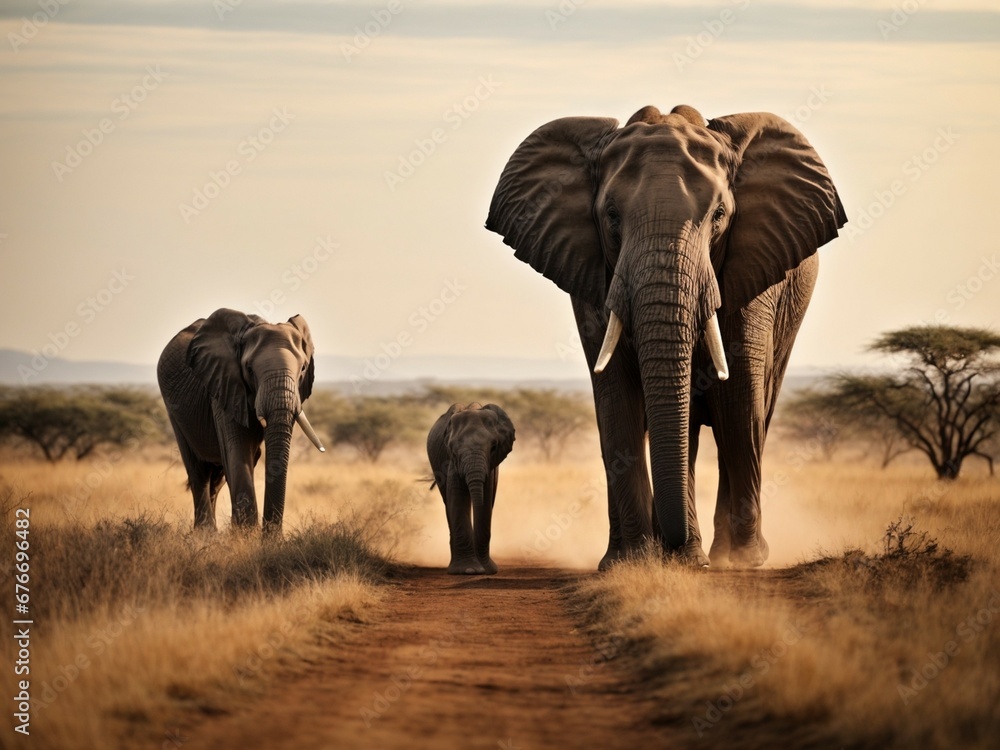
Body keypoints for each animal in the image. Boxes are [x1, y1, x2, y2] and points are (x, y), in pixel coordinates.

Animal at [157, 308, 325, 535]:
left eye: (303, 369)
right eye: (249, 369)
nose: (271, 537)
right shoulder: (224, 384)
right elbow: (237, 449)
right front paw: (245, 536)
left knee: (218, 477)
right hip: (174, 409)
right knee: (197, 469)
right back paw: (205, 534)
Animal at [427, 403, 515, 575]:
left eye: (493, 447)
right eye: (453, 449)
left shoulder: (491, 467)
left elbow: (486, 499)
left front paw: (487, 570)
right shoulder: (451, 463)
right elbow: (458, 499)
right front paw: (468, 570)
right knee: (447, 503)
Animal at [486, 104, 846, 568]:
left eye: (719, 216)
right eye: (611, 216)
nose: (671, 545)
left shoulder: (752, 268)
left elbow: (738, 399)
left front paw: (741, 561)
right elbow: (616, 398)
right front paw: (634, 561)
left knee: (751, 413)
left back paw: (721, 554)